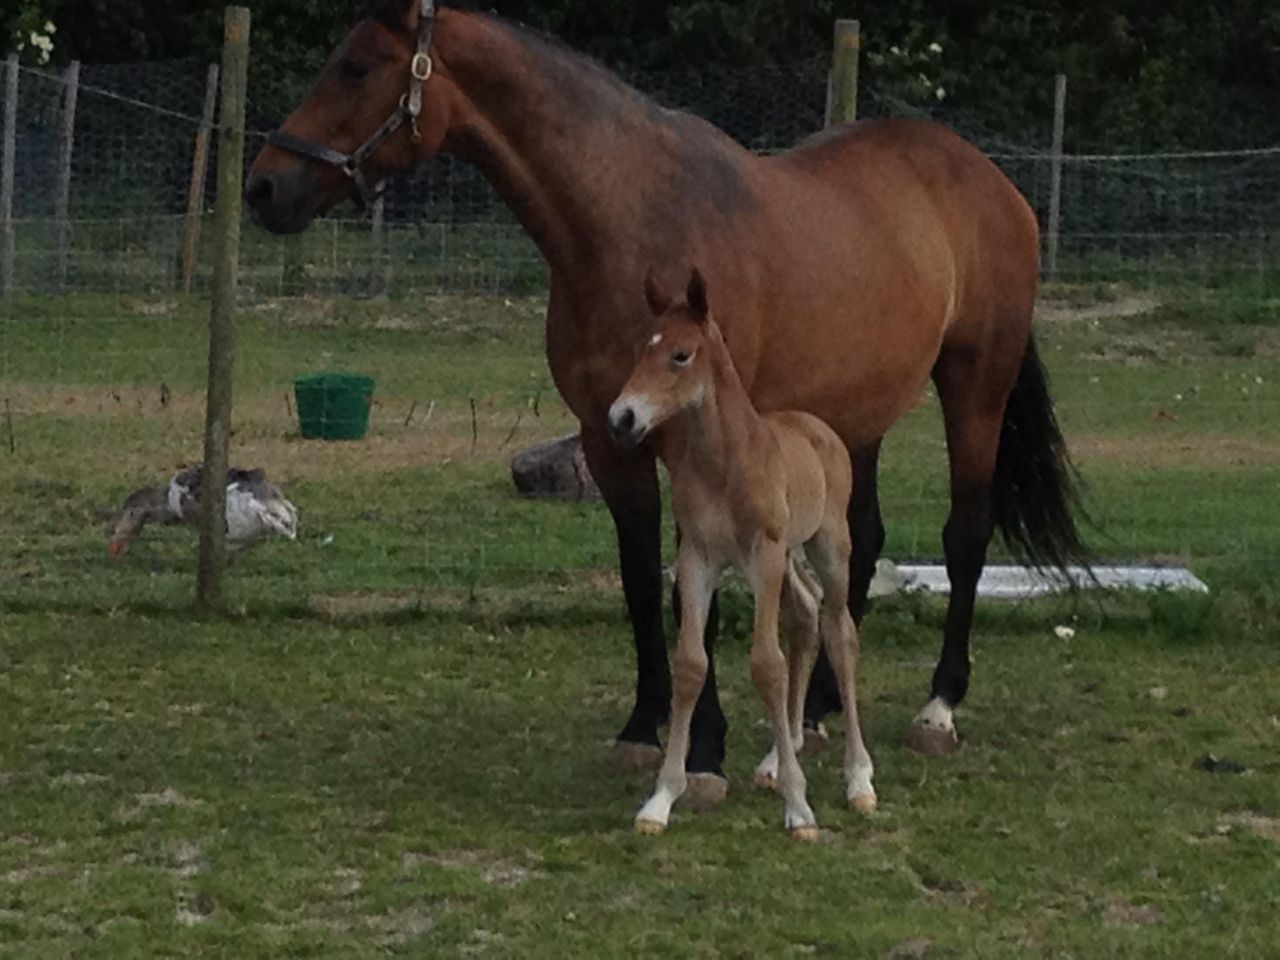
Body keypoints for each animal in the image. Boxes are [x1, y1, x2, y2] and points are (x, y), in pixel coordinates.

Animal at [610, 266, 875, 839]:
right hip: (789, 557)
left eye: (681, 355)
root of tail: (818, 427)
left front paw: (800, 808)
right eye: (641, 348)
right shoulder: (698, 559)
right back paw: (780, 753)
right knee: (805, 611)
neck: (726, 461)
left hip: (825, 546)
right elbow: (690, 663)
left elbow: (766, 664)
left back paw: (859, 779)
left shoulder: (763, 552)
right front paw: (660, 800)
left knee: (840, 631)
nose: (622, 417)